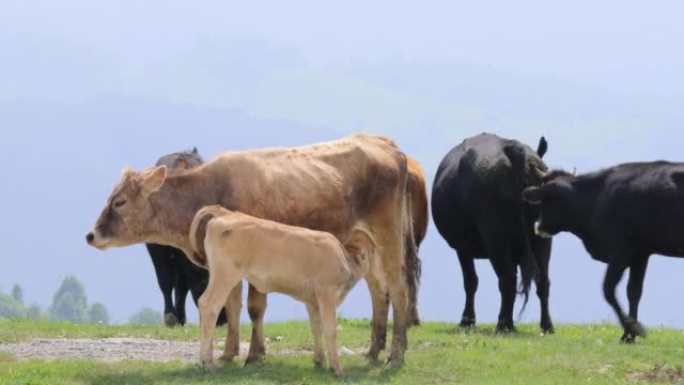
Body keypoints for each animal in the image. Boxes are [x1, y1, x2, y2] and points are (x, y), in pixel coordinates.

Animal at [146, 148, 227, 326]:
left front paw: (180, 316)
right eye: (206, 280)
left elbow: (181, 286)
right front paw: (170, 316)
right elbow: (166, 280)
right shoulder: (156, 249)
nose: (222, 319)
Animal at [187, 206, 374, 374]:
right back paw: (208, 363)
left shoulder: (312, 300)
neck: (344, 260)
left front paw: (320, 361)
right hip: (225, 276)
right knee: (209, 305)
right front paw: (337, 368)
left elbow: (316, 327)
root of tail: (227, 214)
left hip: (217, 275)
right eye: (367, 256)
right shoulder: (326, 293)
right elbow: (330, 329)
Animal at [432, 134, 556, 332]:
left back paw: (504, 325)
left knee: (506, 279)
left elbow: (470, 281)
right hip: (542, 238)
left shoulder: (462, 247)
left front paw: (467, 320)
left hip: (495, 237)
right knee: (542, 280)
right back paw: (546, 326)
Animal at [520, 160, 684, 340]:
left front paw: (633, 329)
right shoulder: (640, 254)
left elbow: (608, 289)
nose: (538, 226)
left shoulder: (621, 252)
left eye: (546, 200)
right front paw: (628, 335)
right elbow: (633, 291)